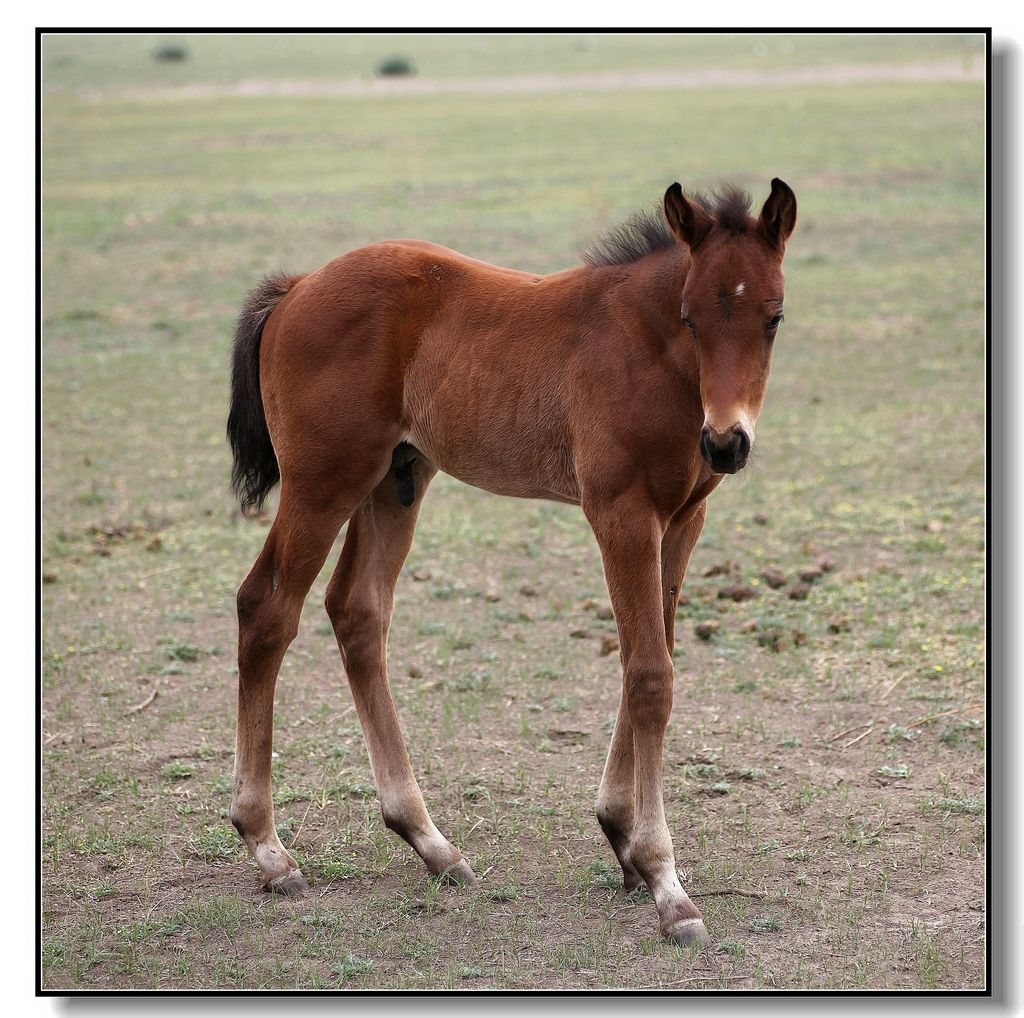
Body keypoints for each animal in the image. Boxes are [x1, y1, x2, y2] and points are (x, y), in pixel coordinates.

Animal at [226, 176, 798, 946]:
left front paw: (622, 839)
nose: (727, 443)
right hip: (325, 480)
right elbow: (650, 675)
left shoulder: (684, 517)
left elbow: (650, 656)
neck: (650, 352)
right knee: (267, 609)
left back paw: (430, 842)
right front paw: (666, 883)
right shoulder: (619, 512)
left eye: (774, 317)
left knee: (357, 612)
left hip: (396, 478)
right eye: (689, 315)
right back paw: (268, 850)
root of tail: (296, 287)